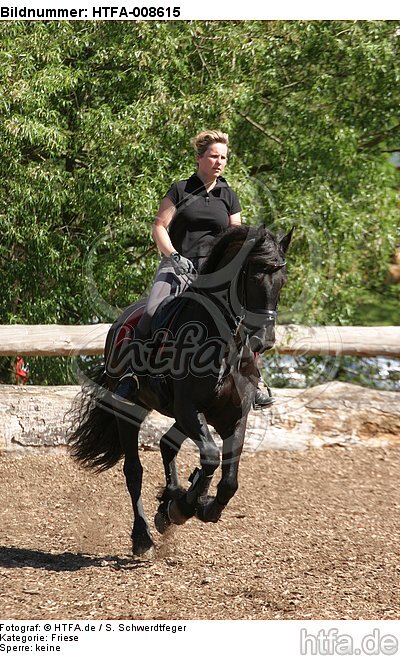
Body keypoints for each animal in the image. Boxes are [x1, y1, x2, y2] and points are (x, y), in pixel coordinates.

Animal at [68, 224, 293, 556]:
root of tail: (118, 323)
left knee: (166, 444)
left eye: (283, 280)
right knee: (134, 471)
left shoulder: (233, 416)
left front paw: (198, 505)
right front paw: (183, 507)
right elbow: (211, 457)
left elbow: (229, 480)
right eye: (253, 276)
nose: (264, 340)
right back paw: (143, 536)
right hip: (130, 408)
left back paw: (171, 498)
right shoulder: (189, 408)